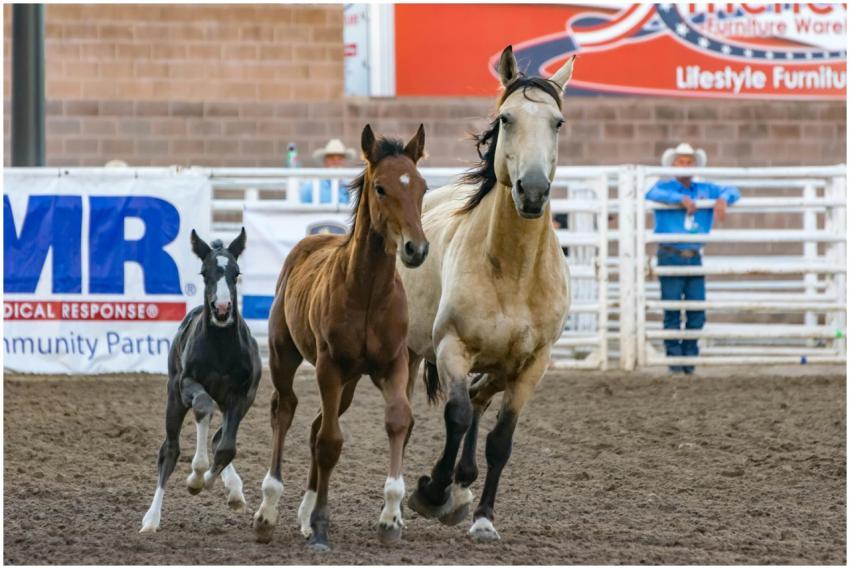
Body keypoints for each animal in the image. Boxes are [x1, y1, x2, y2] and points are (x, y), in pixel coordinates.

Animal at [140, 228, 262, 533]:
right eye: (205, 272)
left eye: (236, 273)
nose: (222, 309)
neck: (220, 348)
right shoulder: (187, 385)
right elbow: (203, 407)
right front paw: (195, 476)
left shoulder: (241, 395)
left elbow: (227, 447)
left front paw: (216, 484)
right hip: (173, 398)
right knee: (169, 450)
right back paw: (151, 519)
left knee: (219, 437)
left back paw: (234, 490)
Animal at [252, 124, 429, 551]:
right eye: (380, 188)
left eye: (422, 187)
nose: (416, 248)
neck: (367, 292)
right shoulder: (329, 367)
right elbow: (331, 443)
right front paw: (320, 526)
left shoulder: (394, 365)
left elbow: (398, 421)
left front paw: (390, 519)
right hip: (286, 357)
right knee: (285, 410)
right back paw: (268, 511)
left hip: (348, 384)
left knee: (316, 425)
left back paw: (300, 513)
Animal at [397, 45, 575, 541]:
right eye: (507, 118)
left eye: (558, 122)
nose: (532, 191)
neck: (513, 272)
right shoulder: (451, 347)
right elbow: (455, 416)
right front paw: (432, 491)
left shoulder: (532, 366)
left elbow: (500, 441)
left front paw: (483, 518)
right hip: (411, 352)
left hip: (499, 365)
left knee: (479, 399)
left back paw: (464, 484)